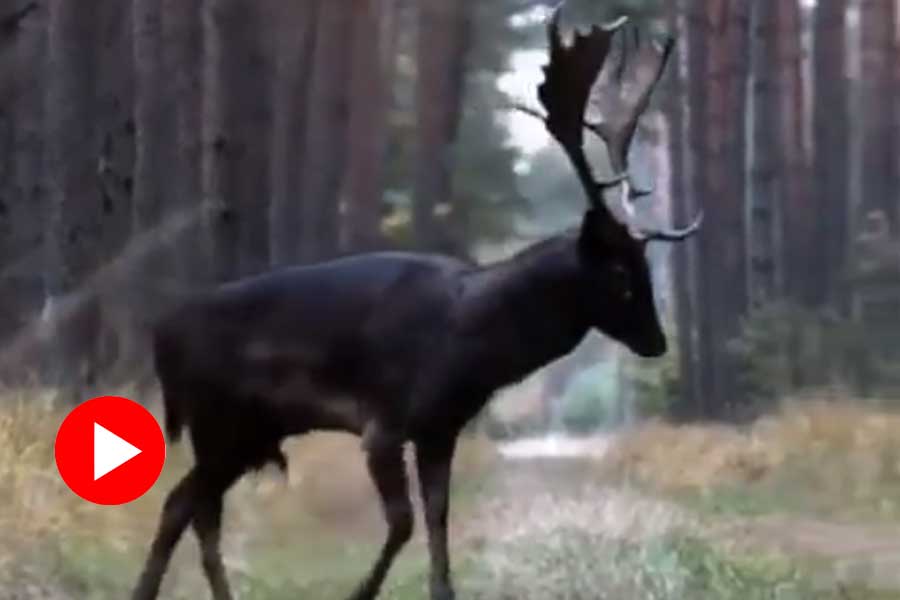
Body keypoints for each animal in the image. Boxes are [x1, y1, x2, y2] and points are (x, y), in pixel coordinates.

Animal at [131, 6, 700, 600]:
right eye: (618, 272)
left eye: (644, 266)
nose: (657, 342)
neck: (465, 344)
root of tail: (162, 337)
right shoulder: (383, 421)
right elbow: (403, 521)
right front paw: (358, 593)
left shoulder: (439, 427)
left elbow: (437, 518)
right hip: (219, 421)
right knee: (185, 504)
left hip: (247, 432)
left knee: (193, 507)